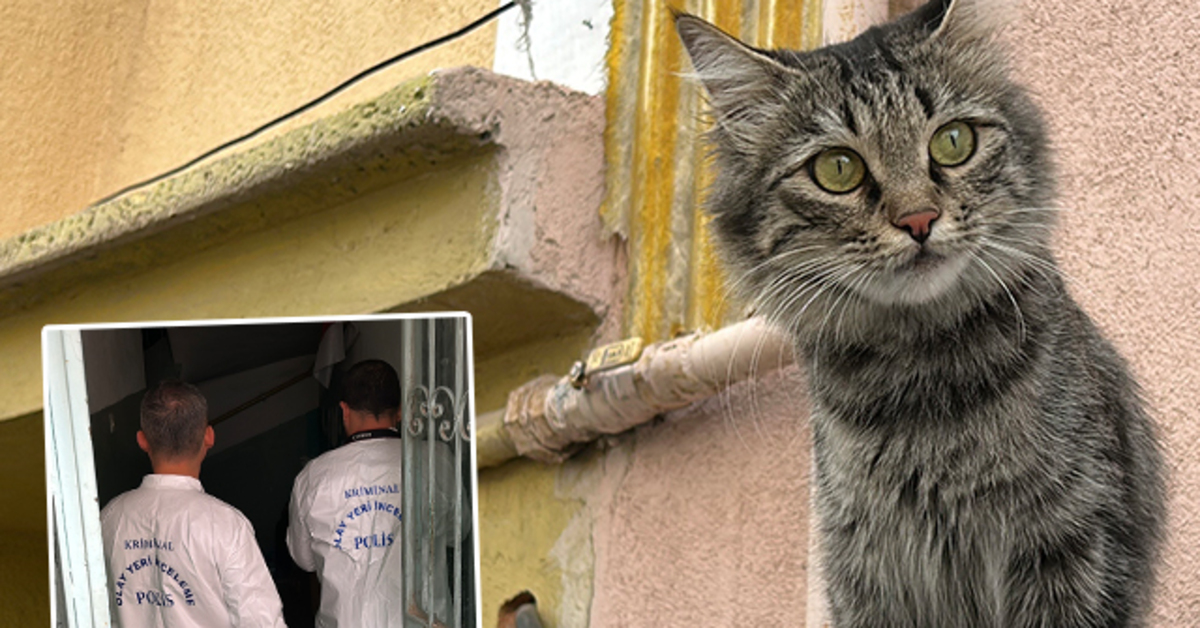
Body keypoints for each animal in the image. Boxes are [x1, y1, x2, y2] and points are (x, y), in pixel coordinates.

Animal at [676, 1, 1161, 628]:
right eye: (837, 169)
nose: (919, 220)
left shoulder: (1074, 537)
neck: (920, 389)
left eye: (953, 141)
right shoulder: (865, 570)